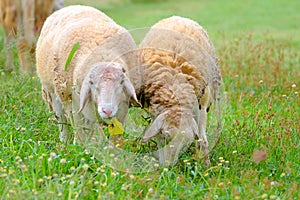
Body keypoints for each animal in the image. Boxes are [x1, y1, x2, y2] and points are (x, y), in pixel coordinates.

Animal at [35, 4, 140, 142]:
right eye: (91, 83)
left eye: (121, 82)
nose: (107, 111)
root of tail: (73, 6)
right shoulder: (73, 100)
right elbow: (80, 128)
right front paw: (81, 145)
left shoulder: (122, 105)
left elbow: (115, 134)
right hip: (52, 92)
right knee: (62, 121)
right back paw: (65, 141)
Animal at [139, 15, 223, 166]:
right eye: (165, 135)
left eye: (185, 143)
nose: (169, 166)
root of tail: (177, 17)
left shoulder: (202, 101)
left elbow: (202, 137)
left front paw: (205, 163)